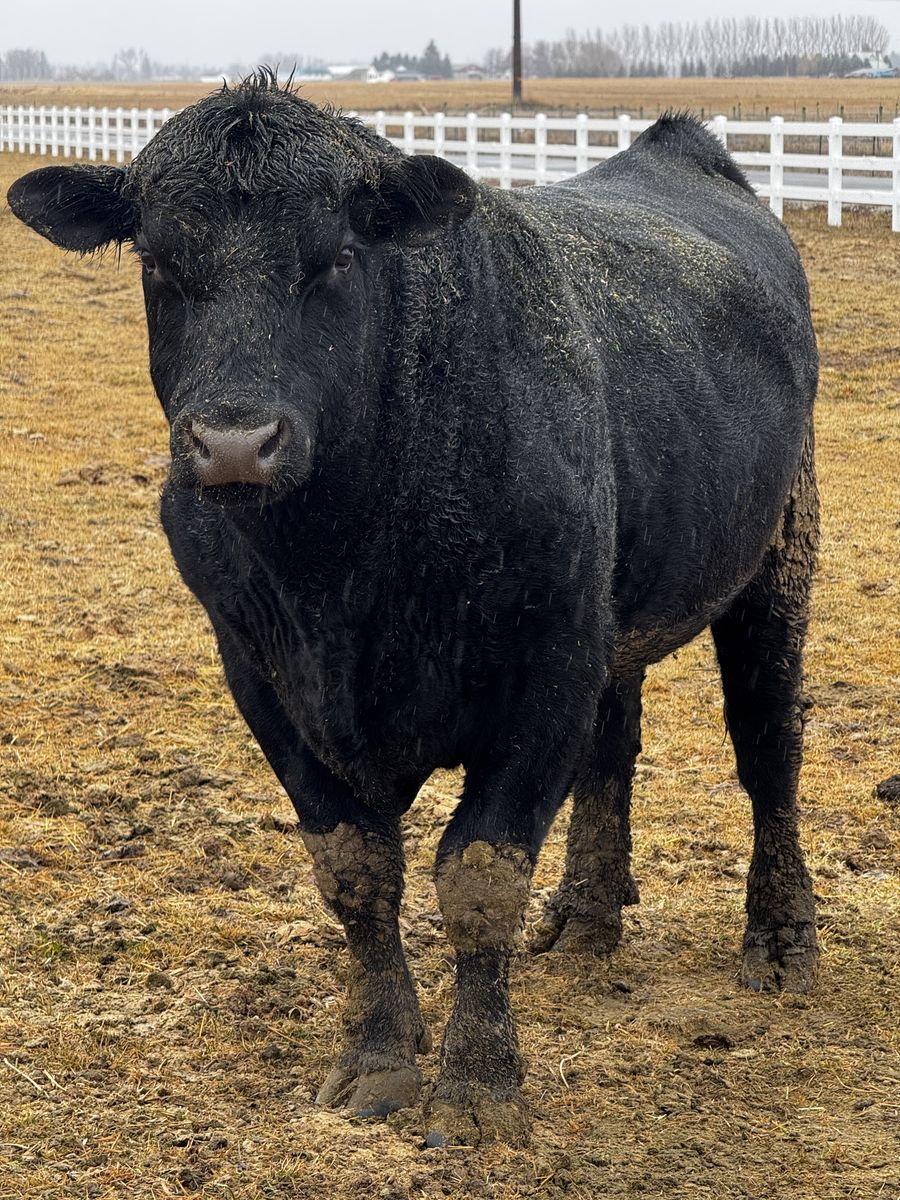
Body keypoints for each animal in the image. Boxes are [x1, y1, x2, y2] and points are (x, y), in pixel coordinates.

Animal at [8, 74, 819, 1146]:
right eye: (157, 261)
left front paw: (477, 1088)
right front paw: (378, 1059)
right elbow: (355, 870)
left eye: (339, 257)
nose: (234, 443)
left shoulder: (542, 672)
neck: (340, 572)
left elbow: (478, 878)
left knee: (767, 743)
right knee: (615, 744)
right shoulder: (261, 677)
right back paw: (588, 914)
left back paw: (781, 933)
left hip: (778, 552)